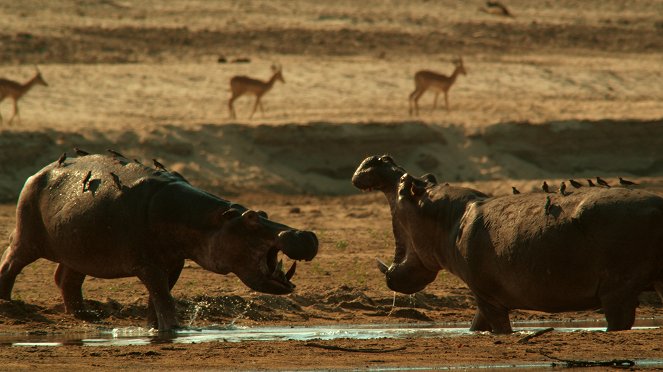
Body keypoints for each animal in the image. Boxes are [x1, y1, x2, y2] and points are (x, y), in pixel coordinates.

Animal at [0, 153, 320, 330]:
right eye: (252, 217)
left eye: (263, 213)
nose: (304, 234)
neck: (209, 221)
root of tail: (38, 172)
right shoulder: (149, 264)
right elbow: (162, 295)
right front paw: (174, 328)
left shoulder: (173, 263)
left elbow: (159, 296)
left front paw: (156, 327)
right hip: (28, 237)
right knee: (10, 263)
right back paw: (8, 306)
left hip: (79, 248)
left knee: (66, 279)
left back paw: (89, 316)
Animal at [352, 155, 663, 332]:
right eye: (428, 177)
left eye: (407, 184)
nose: (380, 158)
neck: (449, 218)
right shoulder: (484, 296)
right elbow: (476, 326)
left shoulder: (487, 297)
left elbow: (498, 328)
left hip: (617, 289)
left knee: (619, 320)